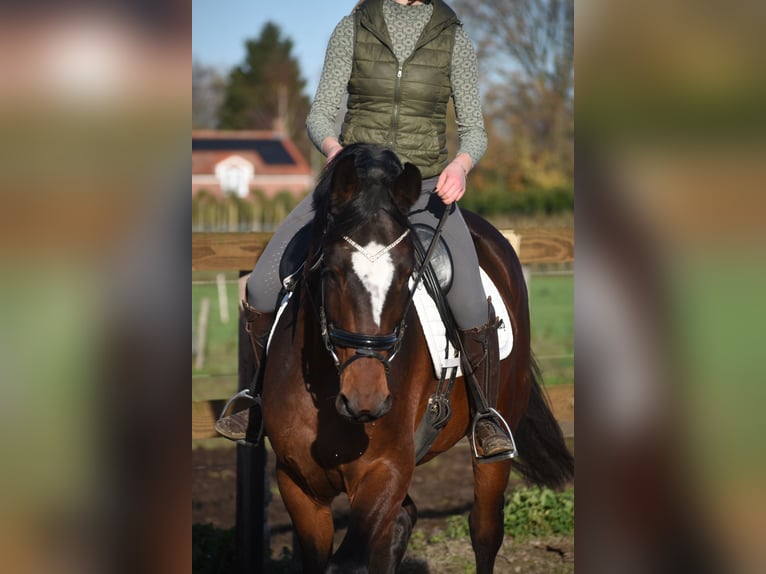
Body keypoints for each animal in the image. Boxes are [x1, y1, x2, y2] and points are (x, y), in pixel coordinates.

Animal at [260, 143, 573, 573]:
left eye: (408, 274)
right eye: (332, 271)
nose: (367, 400)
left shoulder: (385, 471)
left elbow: (350, 562)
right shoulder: (298, 485)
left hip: (494, 445)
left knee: (485, 529)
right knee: (403, 522)